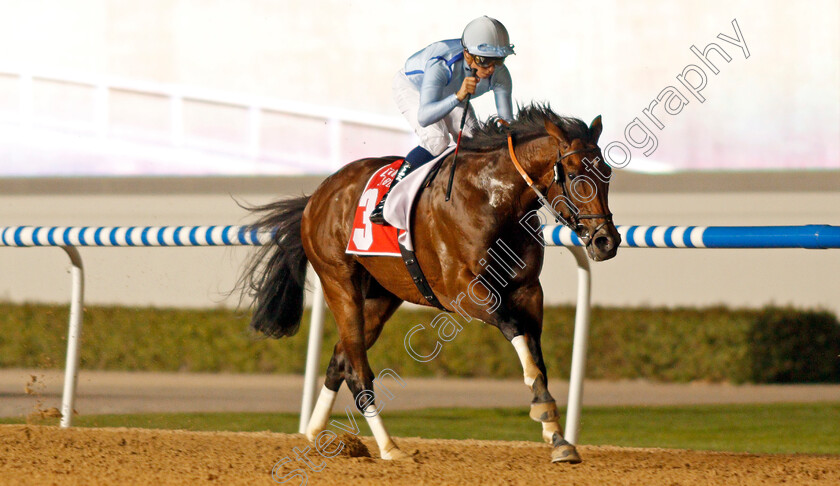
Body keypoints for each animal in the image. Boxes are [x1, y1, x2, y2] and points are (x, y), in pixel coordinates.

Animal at [240, 103, 620, 464]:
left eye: (608, 173)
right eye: (574, 174)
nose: (607, 241)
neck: (493, 199)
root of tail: (316, 197)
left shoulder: (528, 291)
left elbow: (536, 357)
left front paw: (557, 437)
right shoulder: (462, 292)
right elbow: (514, 330)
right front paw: (545, 415)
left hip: (382, 295)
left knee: (340, 359)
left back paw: (315, 434)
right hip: (339, 282)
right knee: (359, 372)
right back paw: (389, 448)